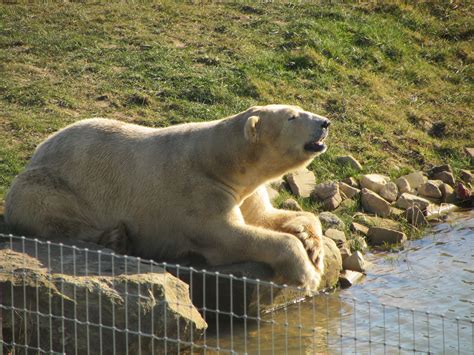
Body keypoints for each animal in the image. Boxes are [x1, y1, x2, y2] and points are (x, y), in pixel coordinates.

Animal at [4, 105, 330, 292]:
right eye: (292, 116)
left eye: (299, 108)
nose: (325, 122)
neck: (220, 161)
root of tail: (37, 151)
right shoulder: (198, 192)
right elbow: (227, 235)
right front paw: (307, 274)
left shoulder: (244, 191)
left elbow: (265, 216)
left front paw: (314, 249)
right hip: (49, 184)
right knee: (49, 212)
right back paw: (114, 238)